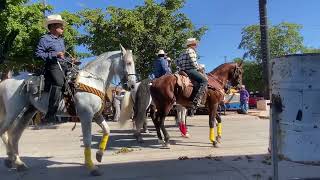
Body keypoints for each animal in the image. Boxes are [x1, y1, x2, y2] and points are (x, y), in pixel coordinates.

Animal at [0, 45, 136, 176]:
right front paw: (91, 167)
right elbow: (87, 140)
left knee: (14, 135)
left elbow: (107, 130)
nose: (132, 85)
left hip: (28, 112)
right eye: (129, 62)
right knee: (5, 132)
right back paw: (11, 160)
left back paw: (18, 163)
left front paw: (99, 155)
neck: (91, 81)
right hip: (13, 112)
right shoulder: (86, 116)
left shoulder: (96, 115)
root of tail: (6, 81)